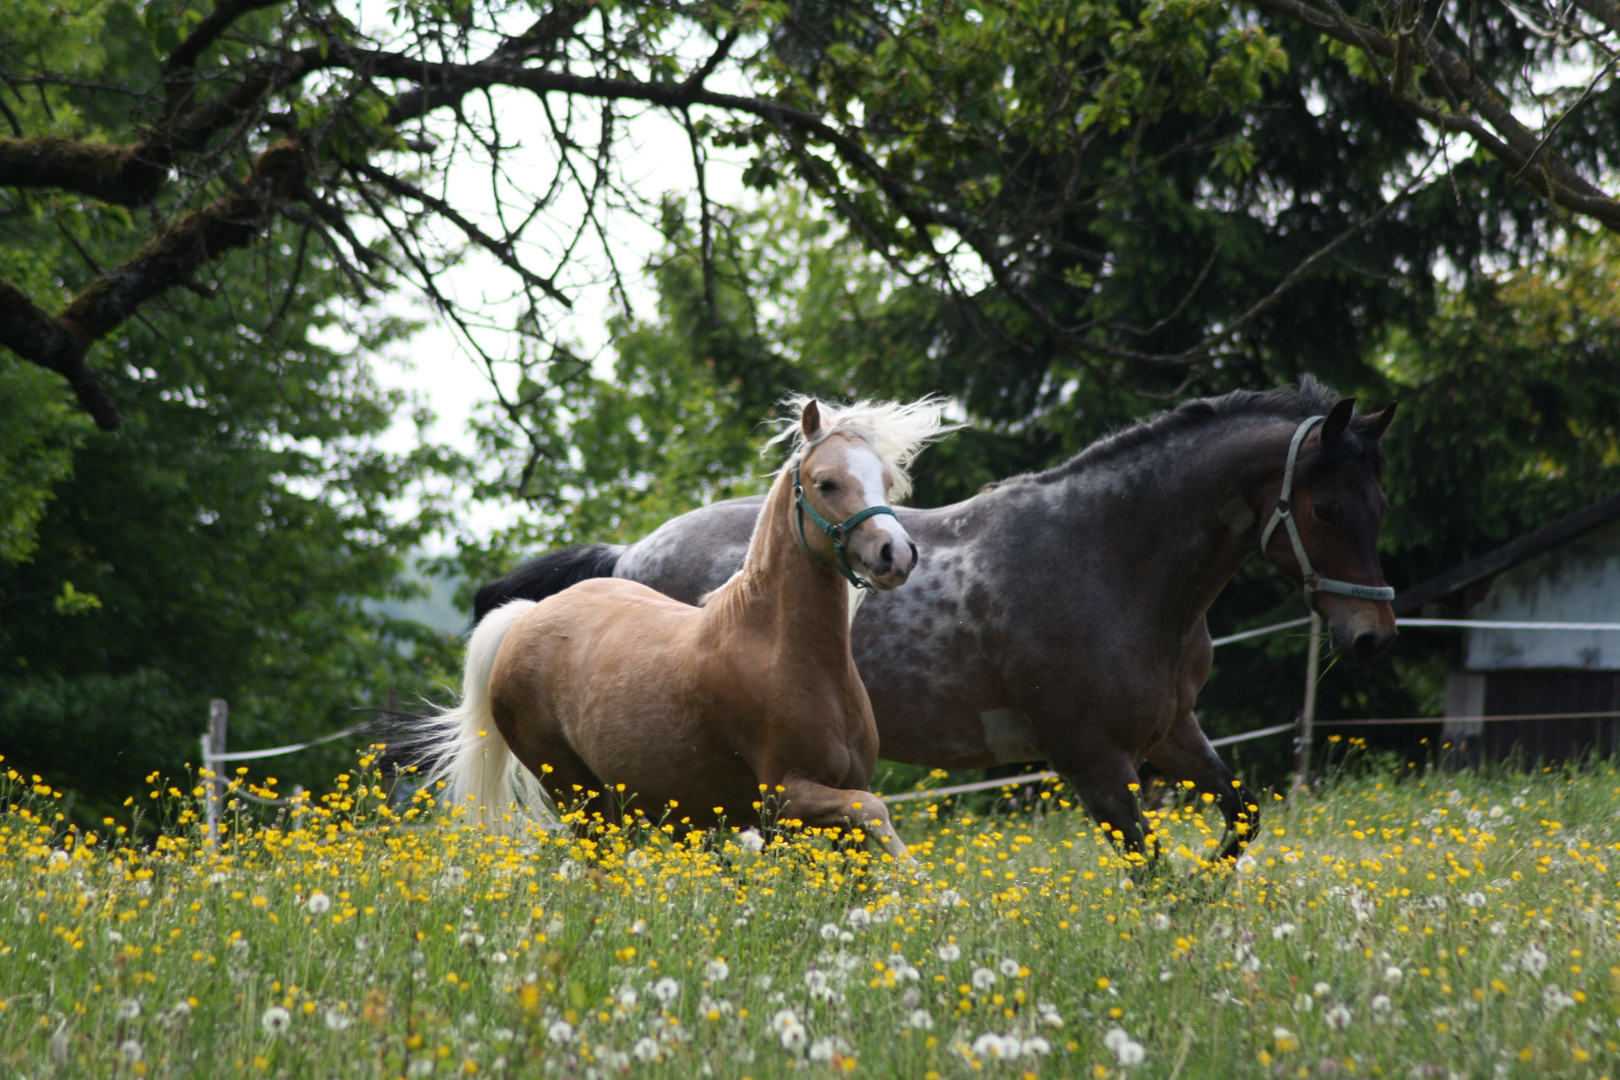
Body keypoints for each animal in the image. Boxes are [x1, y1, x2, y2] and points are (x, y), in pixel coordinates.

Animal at [414, 396, 959, 861]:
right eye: (826, 482)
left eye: (886, 480)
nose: (896, 555)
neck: (791, 657)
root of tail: (527, 615)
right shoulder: (788, 795)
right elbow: (875, 812)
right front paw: (920, 883)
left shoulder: (843, 790)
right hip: (577, 792)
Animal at [473, 380, 1399, 854]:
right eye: (1325, 509)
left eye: (1378, 502)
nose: (1372, 639)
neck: (1109, 556)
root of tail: (624, 556)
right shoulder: (1095, 760)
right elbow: (1150, 868)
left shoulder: (1171, 733)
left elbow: (1241, 816)